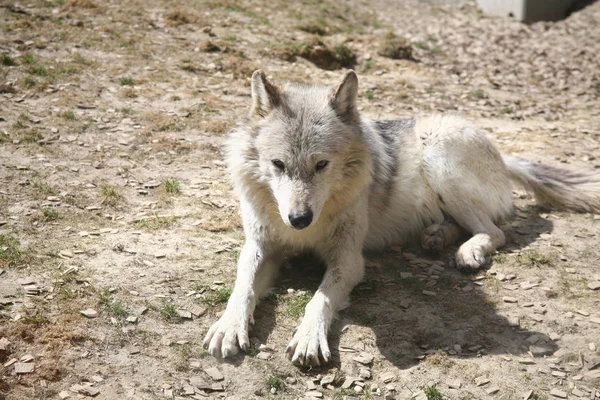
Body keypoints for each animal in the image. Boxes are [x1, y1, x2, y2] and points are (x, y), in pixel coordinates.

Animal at [203, 69, 600, 366]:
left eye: (321, 165)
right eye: (278, 164)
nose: (299, 219)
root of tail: (504, 156)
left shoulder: (348, 259)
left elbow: (320, 298)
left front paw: (309, 338)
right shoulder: (260, 245)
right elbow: (242, 287)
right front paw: (228, 327)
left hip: (438, 156)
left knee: (495, 230)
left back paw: (468, 251)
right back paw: (436, 236)